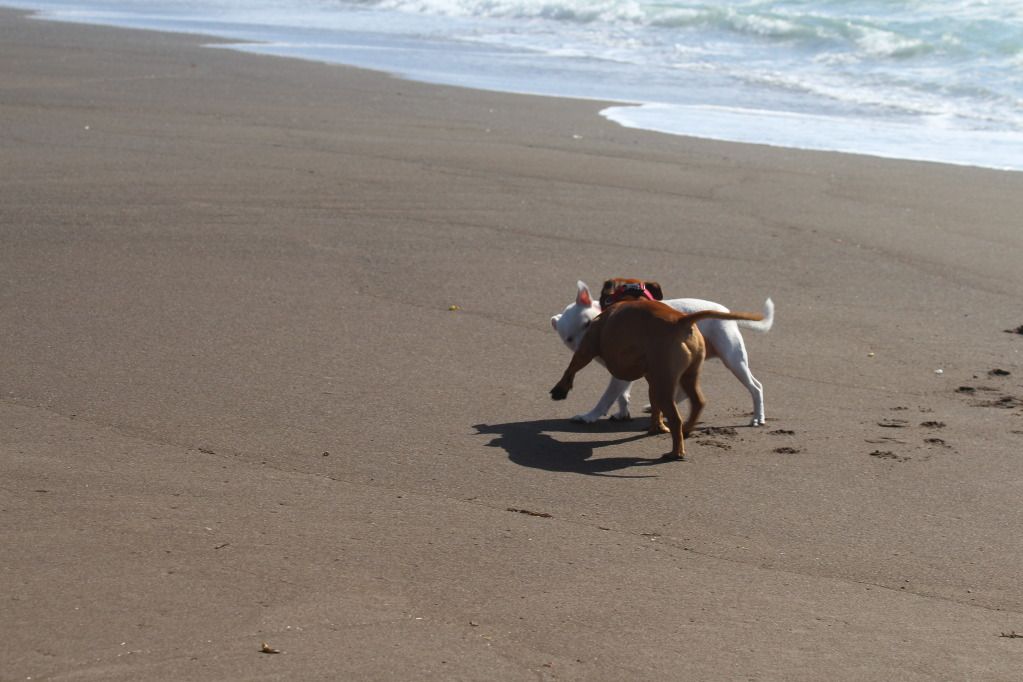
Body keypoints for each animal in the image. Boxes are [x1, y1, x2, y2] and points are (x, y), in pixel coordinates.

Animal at [552, 296, 761, 458]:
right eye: (568, 339)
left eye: (585, 325)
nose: (577, 343)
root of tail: (681, 321)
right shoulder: (650, 377)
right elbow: (646, 403)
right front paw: (643, 420)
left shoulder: (587, 350)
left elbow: (576, 372)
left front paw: (578, 406)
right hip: (685, 375)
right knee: (696, 401)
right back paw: (682, 430)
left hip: (730, 359)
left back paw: (676, 452)